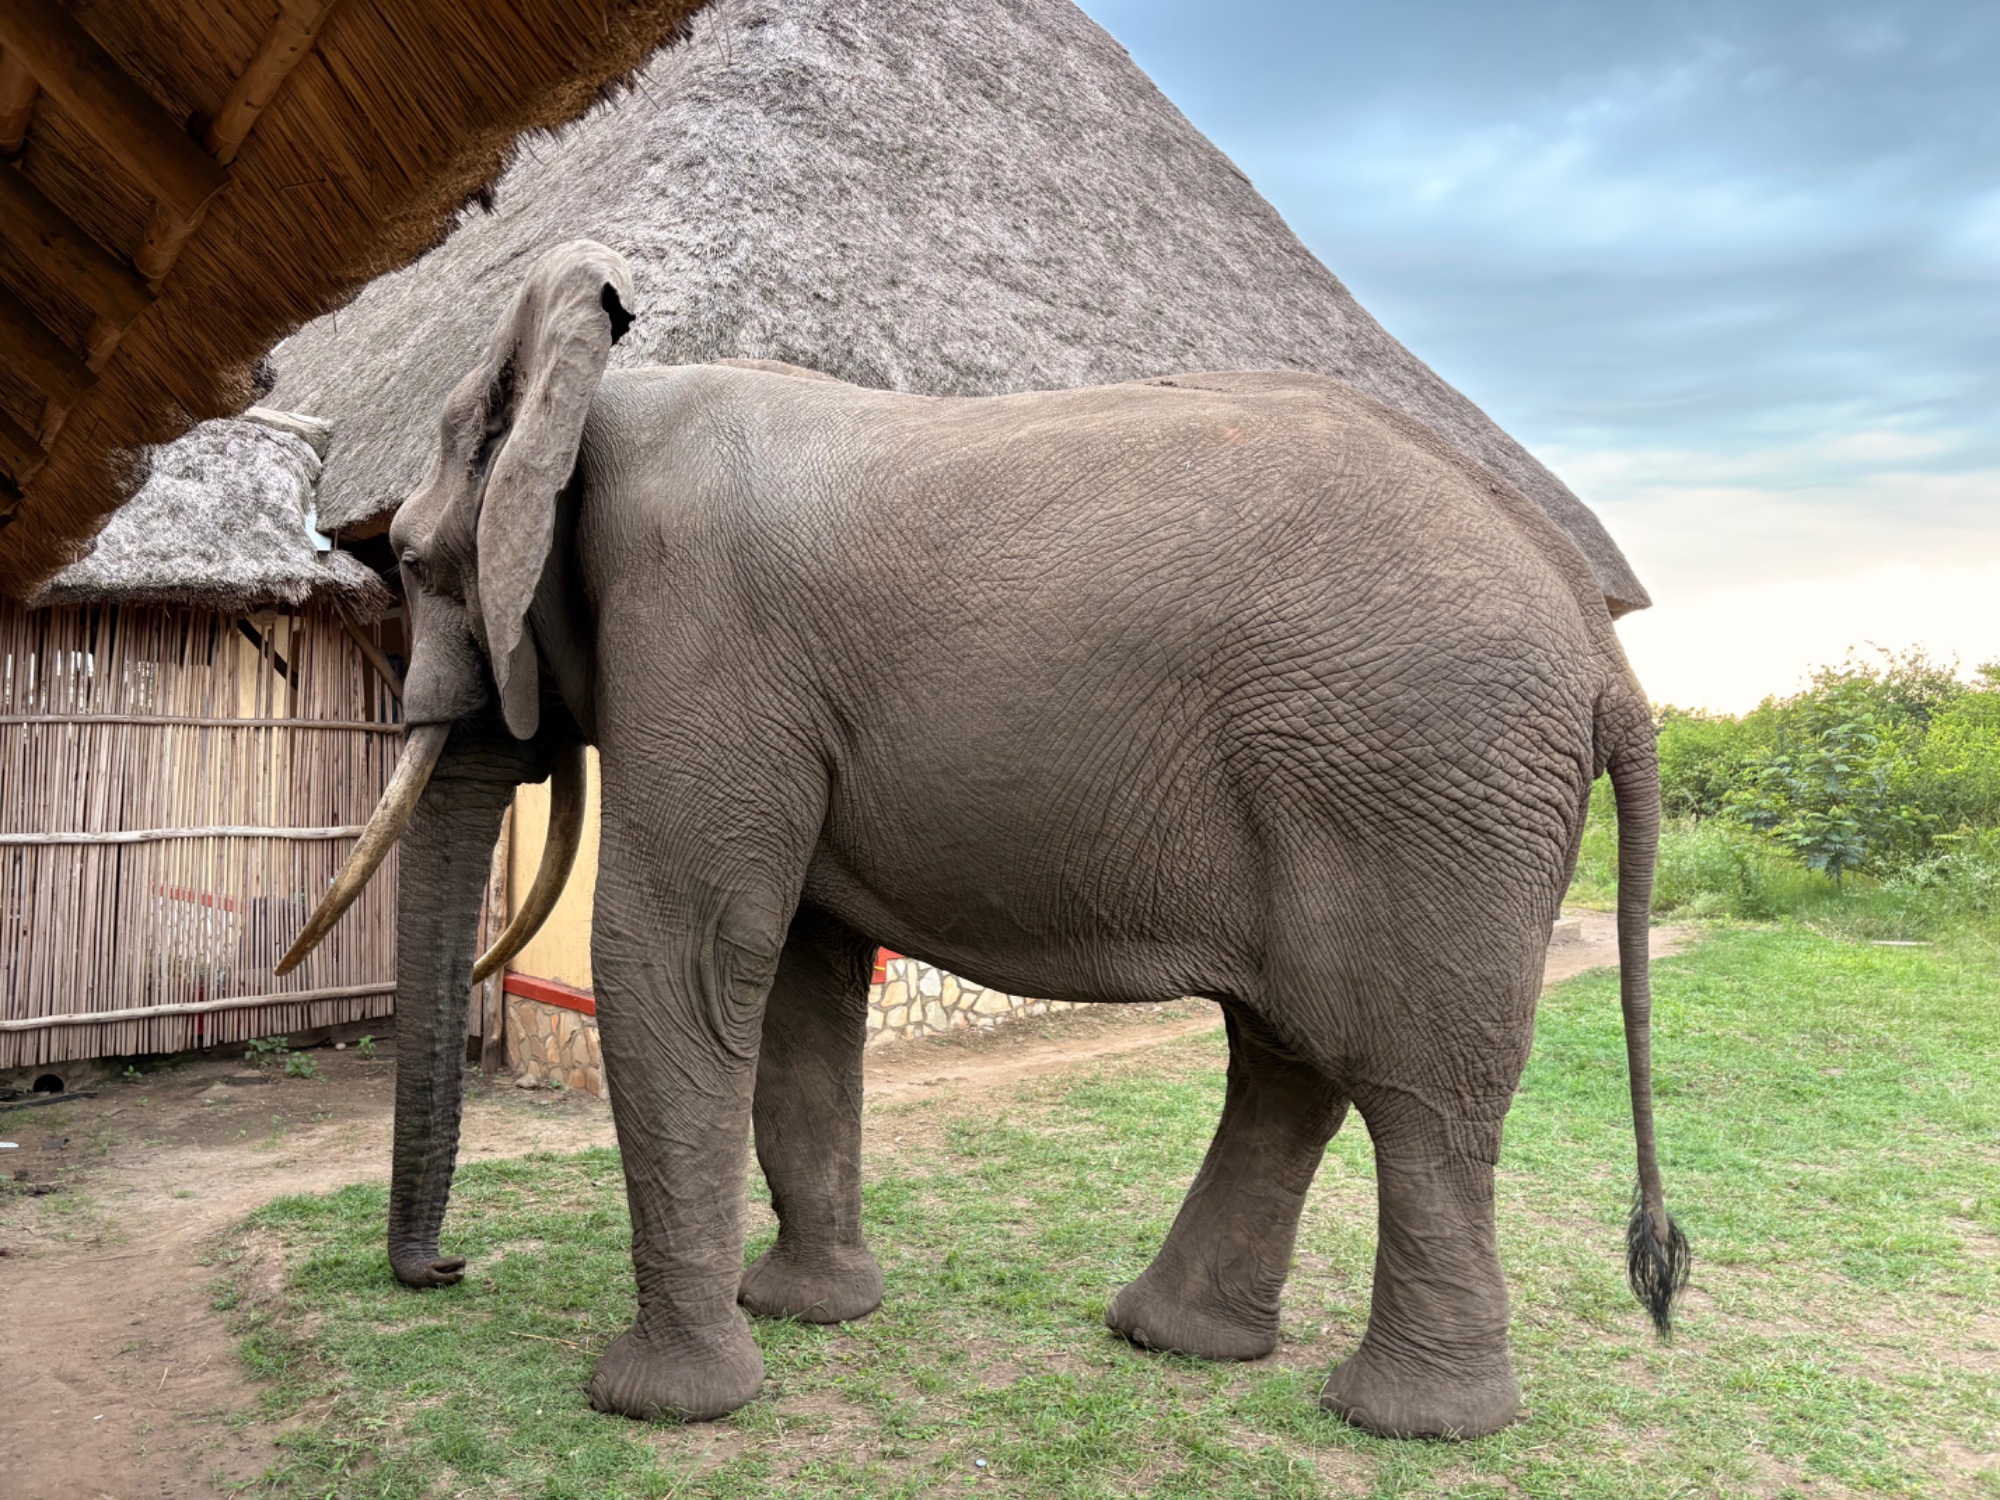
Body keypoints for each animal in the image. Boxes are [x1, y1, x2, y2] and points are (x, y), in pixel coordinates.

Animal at [281, 239, 1688, 1439]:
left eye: (418, 564)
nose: (446, 1270)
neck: (598, 397)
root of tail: (1602, 646)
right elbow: (799, 983)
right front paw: (811, 1317)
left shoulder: (699, 633)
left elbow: (680, 954)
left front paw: (662, 1408)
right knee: (1289, 1058)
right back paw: (1172, 1340)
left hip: (1421, 784)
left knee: (1413, 1090)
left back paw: (1403, 1422)